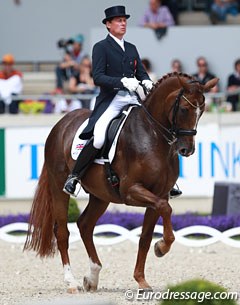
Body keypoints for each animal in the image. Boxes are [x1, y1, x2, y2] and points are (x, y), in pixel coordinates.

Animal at [23, 72, 218, 292]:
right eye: (184, 109)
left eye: (202, 111)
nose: (187, 149)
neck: (152, 135)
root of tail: (61, 123)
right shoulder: (131, 191)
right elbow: (165, 208)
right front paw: (161, 247)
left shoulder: (158, 194)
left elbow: (146, 236)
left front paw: (142, 278)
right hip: (59, 188)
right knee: (62, 231)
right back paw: (71, 281)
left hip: (101, 196)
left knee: (85, 225)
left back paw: (92, 277)